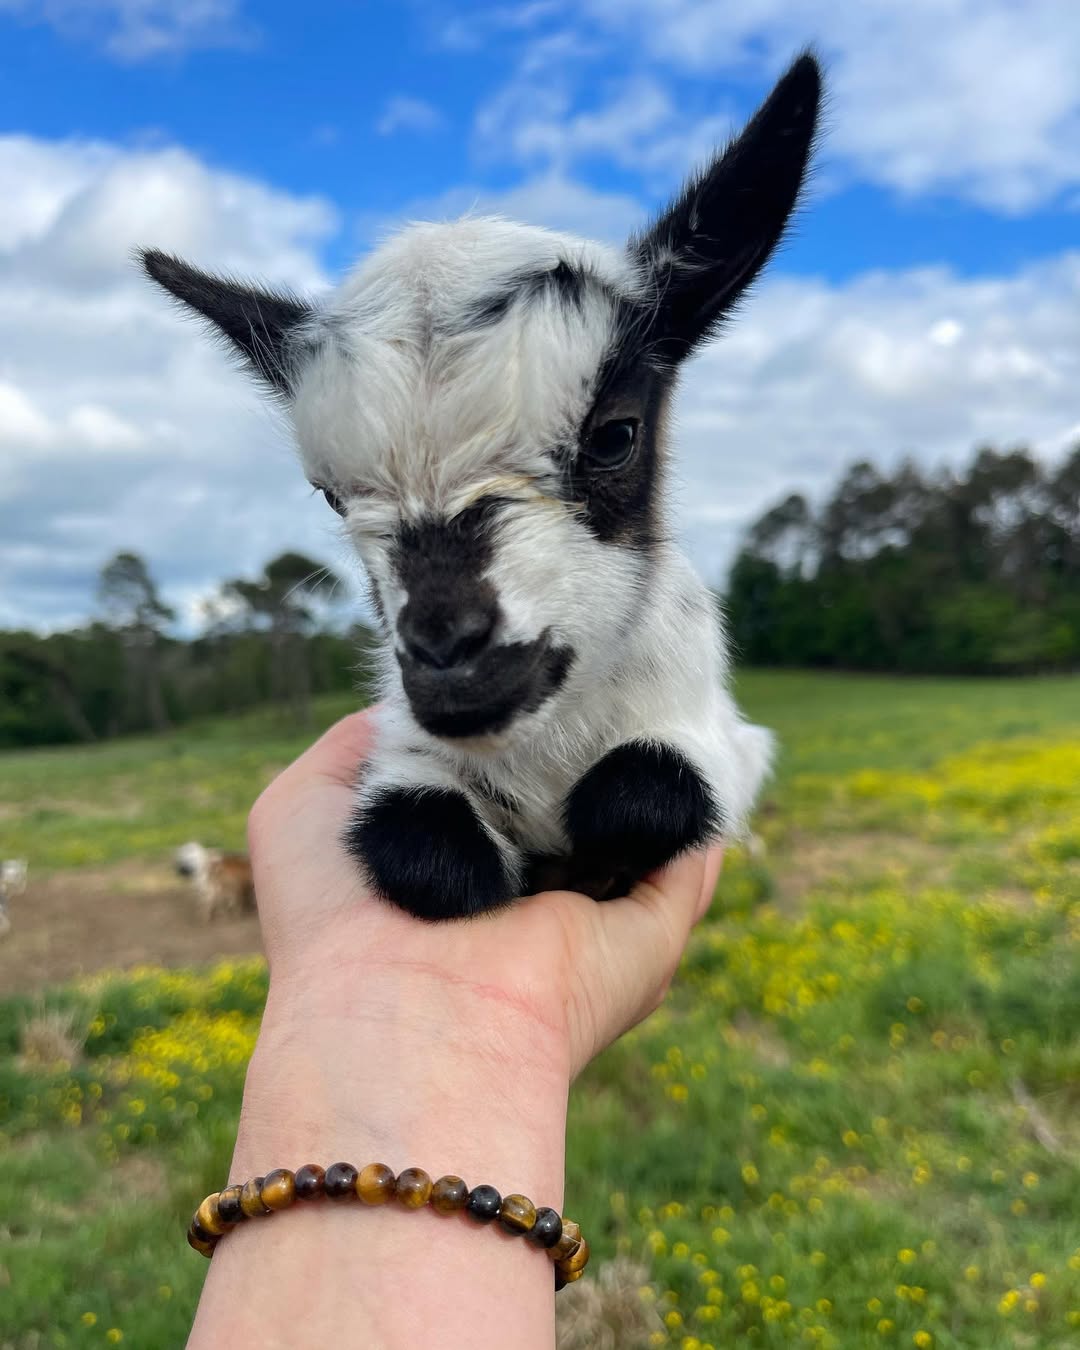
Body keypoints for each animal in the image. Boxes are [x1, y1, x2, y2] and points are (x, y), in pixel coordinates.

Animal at [143, 54, 821, 920]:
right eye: (329, 494)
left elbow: (645, 790)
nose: (448, 654)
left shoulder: (726, 741)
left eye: (615, 435)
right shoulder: (403, 753)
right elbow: (425, 849)